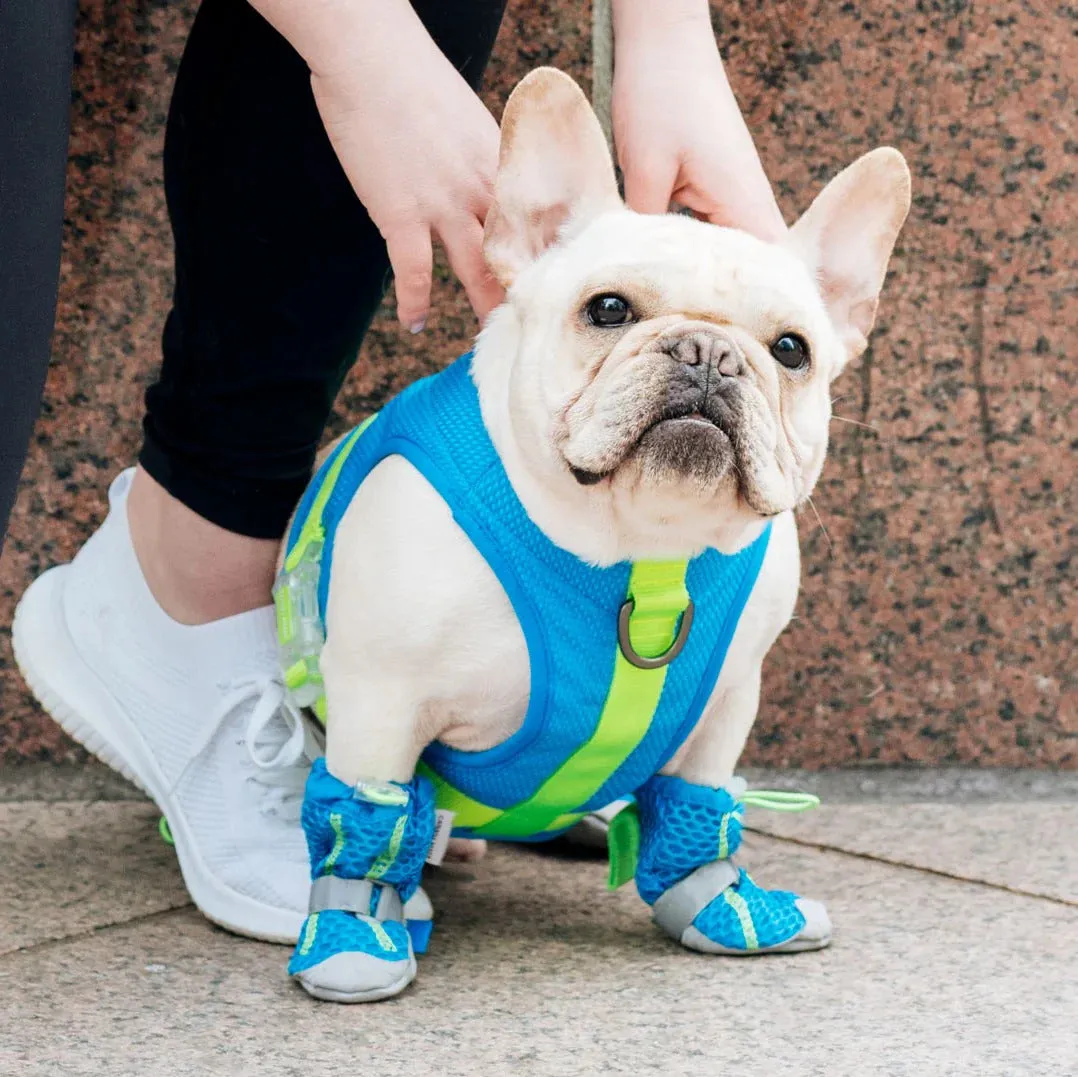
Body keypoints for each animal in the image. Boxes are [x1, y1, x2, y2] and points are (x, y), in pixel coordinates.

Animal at [284, 69, 909, 1000]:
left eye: (792, 349)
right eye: (607, 309)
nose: (709, 353)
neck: (640, 546)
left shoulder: (726, 704)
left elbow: (698, 800)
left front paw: (718, 900)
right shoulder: (379, 698)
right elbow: (368, 813)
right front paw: (355, 928)